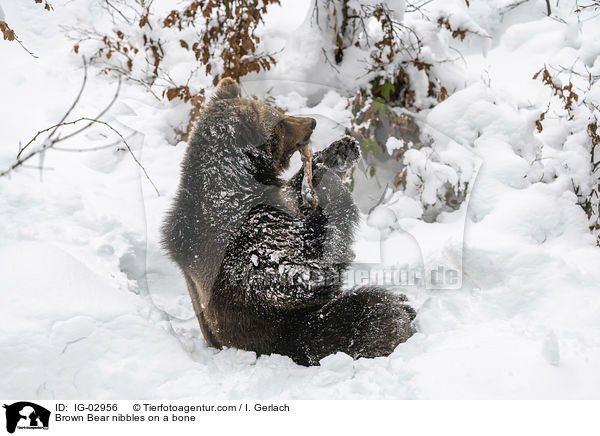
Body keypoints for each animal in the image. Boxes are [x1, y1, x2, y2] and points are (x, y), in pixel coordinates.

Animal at [164, 77, 418, 364]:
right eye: (280, 118)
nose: (312, 122)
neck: (237, 181)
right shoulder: (242, 234)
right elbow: (297, 272)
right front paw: (328, 182)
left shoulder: (274, 201)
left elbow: (295, 196)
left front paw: (337, 152)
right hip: (289, 333)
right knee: (362, 314)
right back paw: (399, 313)